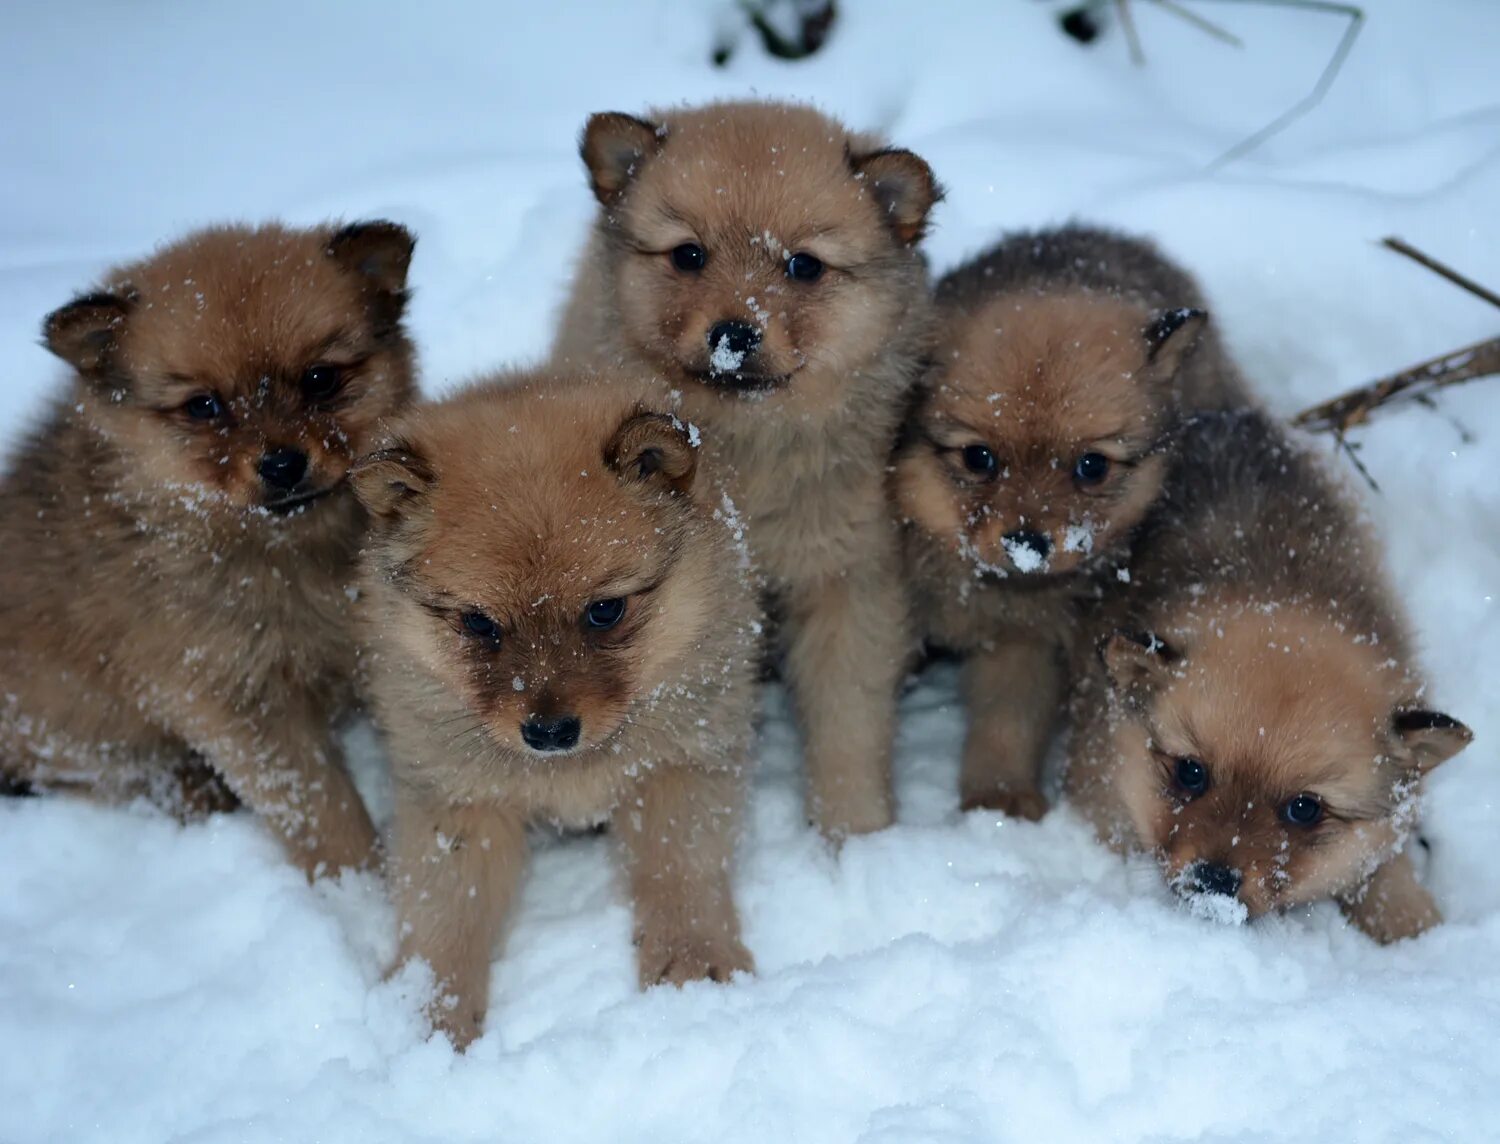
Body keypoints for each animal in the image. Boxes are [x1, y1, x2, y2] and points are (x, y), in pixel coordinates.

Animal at [0, 218, 417, 875]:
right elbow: (320, 807)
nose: (281, 463)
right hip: (75, 726)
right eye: (204, 406)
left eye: (320, 379)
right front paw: (355, 881)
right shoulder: (235, 698)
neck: (290, 555)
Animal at [354, 371, 762, 1049]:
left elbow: (679, 867)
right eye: (478, 623)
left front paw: (692, 962)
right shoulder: (459, 803)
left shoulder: (677, 766)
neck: (570, 772)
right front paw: (431, 1013)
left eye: (605, 610)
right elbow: (446, 915)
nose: (549, 732)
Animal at [558, 98, 942, 839]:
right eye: (689, 255)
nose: (734, 333)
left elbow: (848, 723)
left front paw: (854, 830)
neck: (745, 453)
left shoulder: (845, 580)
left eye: (803, 266)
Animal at [888, 226, 1254, 815]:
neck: (978, 591)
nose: (1027, 544)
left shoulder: (1027, 645)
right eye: (978, 458)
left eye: (1092, 466)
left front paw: (1000, 798)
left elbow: (1007, 726)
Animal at [1062, 407, 1470, 941]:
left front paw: (1407, 921)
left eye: (1304, 808)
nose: (1213, 880)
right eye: (1191, 772)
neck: (1278, 587)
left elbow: (1384, 870)